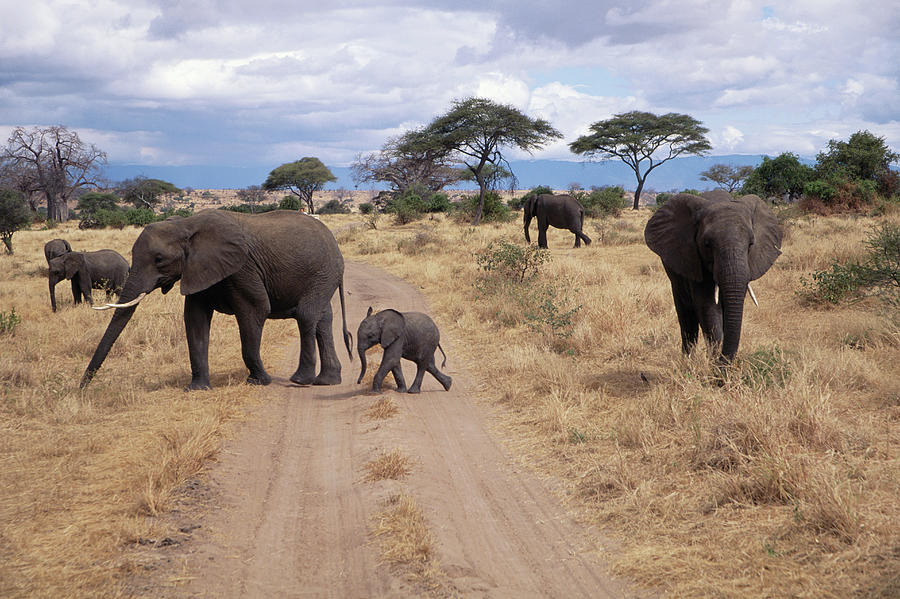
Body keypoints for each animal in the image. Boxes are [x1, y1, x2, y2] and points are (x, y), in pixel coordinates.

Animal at [80, 209, 352, 392]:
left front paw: (259, 381)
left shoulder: (242, 268)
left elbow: (256, 310)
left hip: (323, 272)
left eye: (159, 259)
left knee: (306, 315)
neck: (186, 225)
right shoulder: (198, 269)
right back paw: (327, 381)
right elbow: (195, 319)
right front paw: (197, 388)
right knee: (322, 319)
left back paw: (300, 380)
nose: (82, 389)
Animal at [644, 192, 784, 360]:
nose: (722, 361)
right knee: (686, 317)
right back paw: (687, 361)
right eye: (707, 244)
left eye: (751, 244)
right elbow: (708, 308)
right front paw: (715, 363)